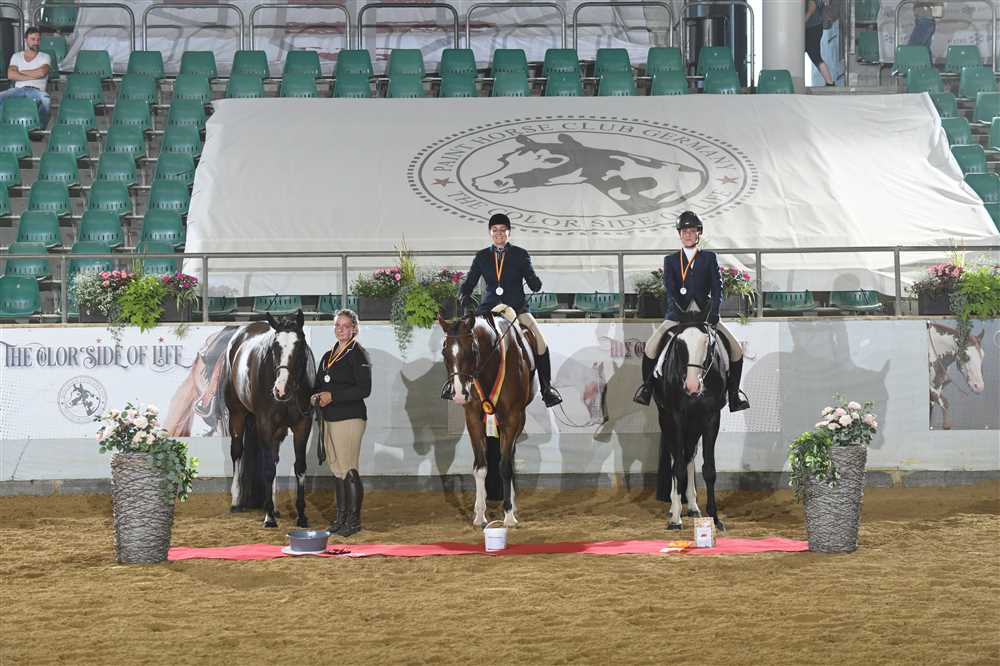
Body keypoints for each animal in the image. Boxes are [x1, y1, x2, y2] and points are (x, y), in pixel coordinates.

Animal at [222, 311, 316, 528]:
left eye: (300, 346)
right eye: (275, 347)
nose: (280, 390)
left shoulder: (302, 425)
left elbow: (299, 468)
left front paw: (301, 516)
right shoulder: (264, 424)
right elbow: (267, 469)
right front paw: (268, 517)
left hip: (277, 431)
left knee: (273, 457)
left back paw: (274, 506)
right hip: (237, 415)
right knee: (237, 452)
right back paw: (236, 501)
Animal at [438, 310, 536, 527]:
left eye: (473, 350)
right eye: (444, 352)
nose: (459, 394)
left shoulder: (512, 418)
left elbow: (505, 467)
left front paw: (509, 515)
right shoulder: (473, 418)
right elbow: (480, 467)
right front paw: (479, 515)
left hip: (519, 418)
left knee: (510, 456)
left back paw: (512, 505)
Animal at [652, 322, 728, 530]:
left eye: (707, 343)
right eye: (679, 344)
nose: (693, 386)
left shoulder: (711, 418)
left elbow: (709, 470)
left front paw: (715, 519)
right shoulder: (677, 418)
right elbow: (677, 468)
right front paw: (676, 519)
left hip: (694, 427)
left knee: (689, 455)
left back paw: (693, 506)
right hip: (666, 420)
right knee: (676, 459)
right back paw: (674, 508)